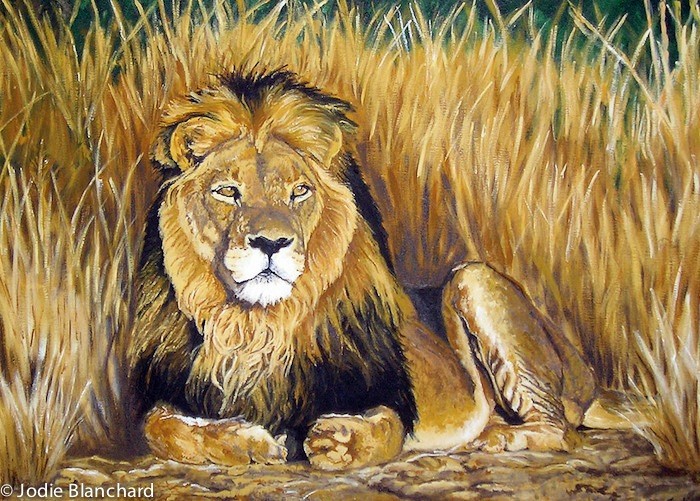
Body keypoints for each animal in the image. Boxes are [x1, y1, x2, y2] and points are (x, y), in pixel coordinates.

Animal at [127, 69, 620, 471]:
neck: (257, 325)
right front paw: (247, 442)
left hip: (474, 276)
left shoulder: (388, 394)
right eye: (227, 192)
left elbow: (386, 426)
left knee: (561, 430)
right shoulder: (169, 391)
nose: (271, 243)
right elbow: (161, 427)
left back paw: (500, 438)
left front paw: (337, 441)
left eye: (299, 191)